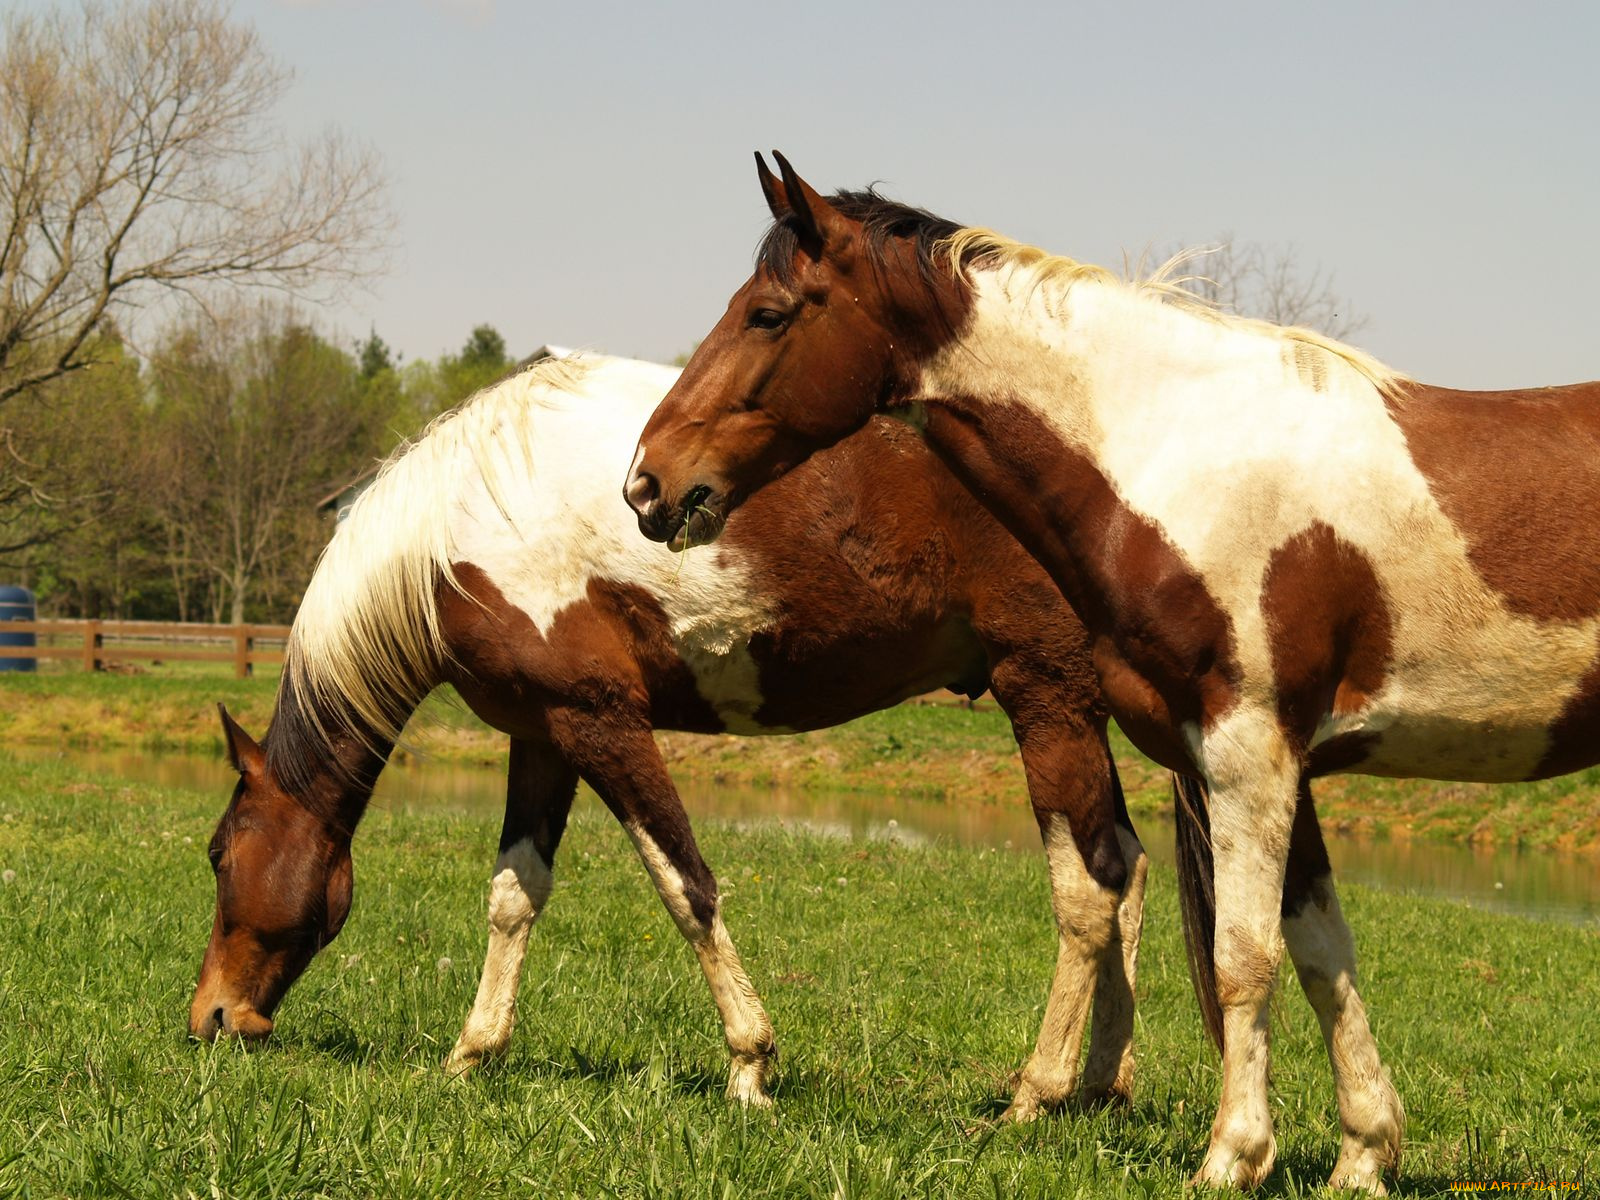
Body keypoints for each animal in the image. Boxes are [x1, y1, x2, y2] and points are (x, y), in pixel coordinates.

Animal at [193, 355, 1190, 1120]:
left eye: (217, 854)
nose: (211, 1018)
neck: (465, 525)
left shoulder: (601, 724)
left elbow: (687, 887)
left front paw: (750, 1066)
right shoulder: (541, 735)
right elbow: (516, 895)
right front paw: (471, 1054)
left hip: (1046, 697)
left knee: (1088, 888)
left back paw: (1037, 1093)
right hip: (1073, 710)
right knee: (1129, 870)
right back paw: (1104, 1086)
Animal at [620, 157, 1600, 1196]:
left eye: (769, 313)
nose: (647, 481)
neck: (1186, 462)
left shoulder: (1249, 758)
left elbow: (1243, 957)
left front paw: (1232, 1155)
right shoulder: (1281, 770)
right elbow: (1320, 951)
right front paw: (1364, 1155)